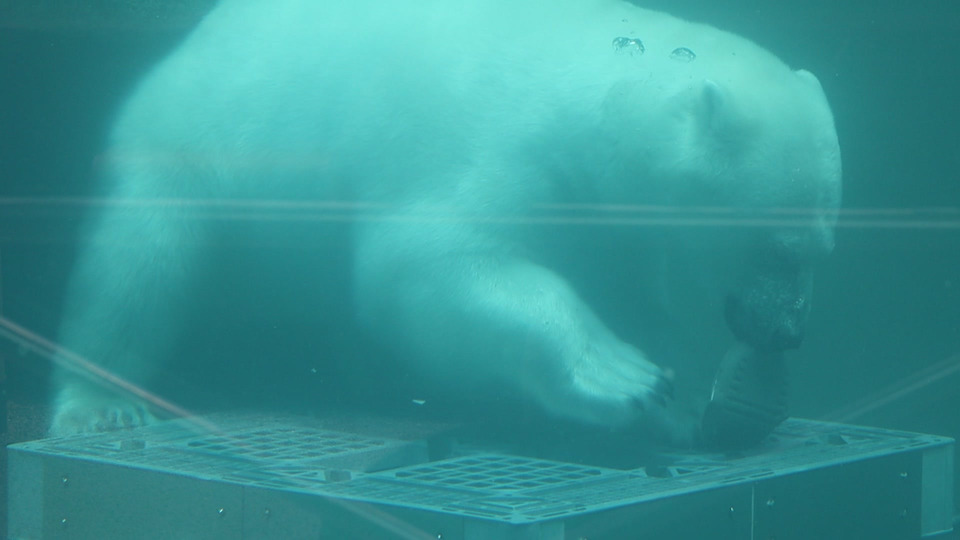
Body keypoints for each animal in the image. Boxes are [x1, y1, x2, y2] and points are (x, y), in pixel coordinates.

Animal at [48, 0, 841, 443]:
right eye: (777, 246)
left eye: (825, 245)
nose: (789, 332)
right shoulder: (495, 140)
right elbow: (427, 264)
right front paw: (623, 375)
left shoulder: (616, 222)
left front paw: (701, 404)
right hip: (193, 141)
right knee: (141, 266)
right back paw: (101, 406)